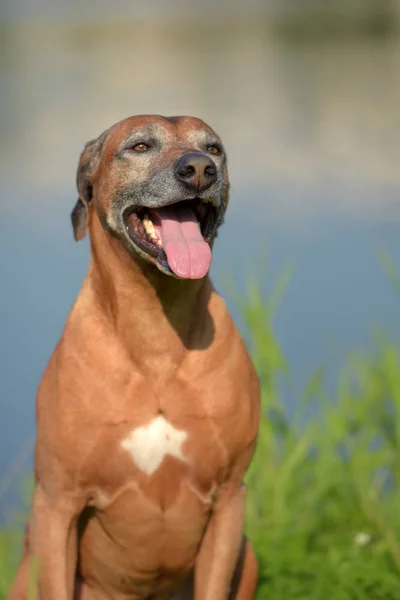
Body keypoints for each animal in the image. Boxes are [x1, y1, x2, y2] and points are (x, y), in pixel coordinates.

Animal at [8, 115, 262, 596]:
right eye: (140, 146)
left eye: (214, 149)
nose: (199, 170)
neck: (155, 337)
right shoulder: (56, 504)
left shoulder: (229, 499)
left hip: (249, 555)